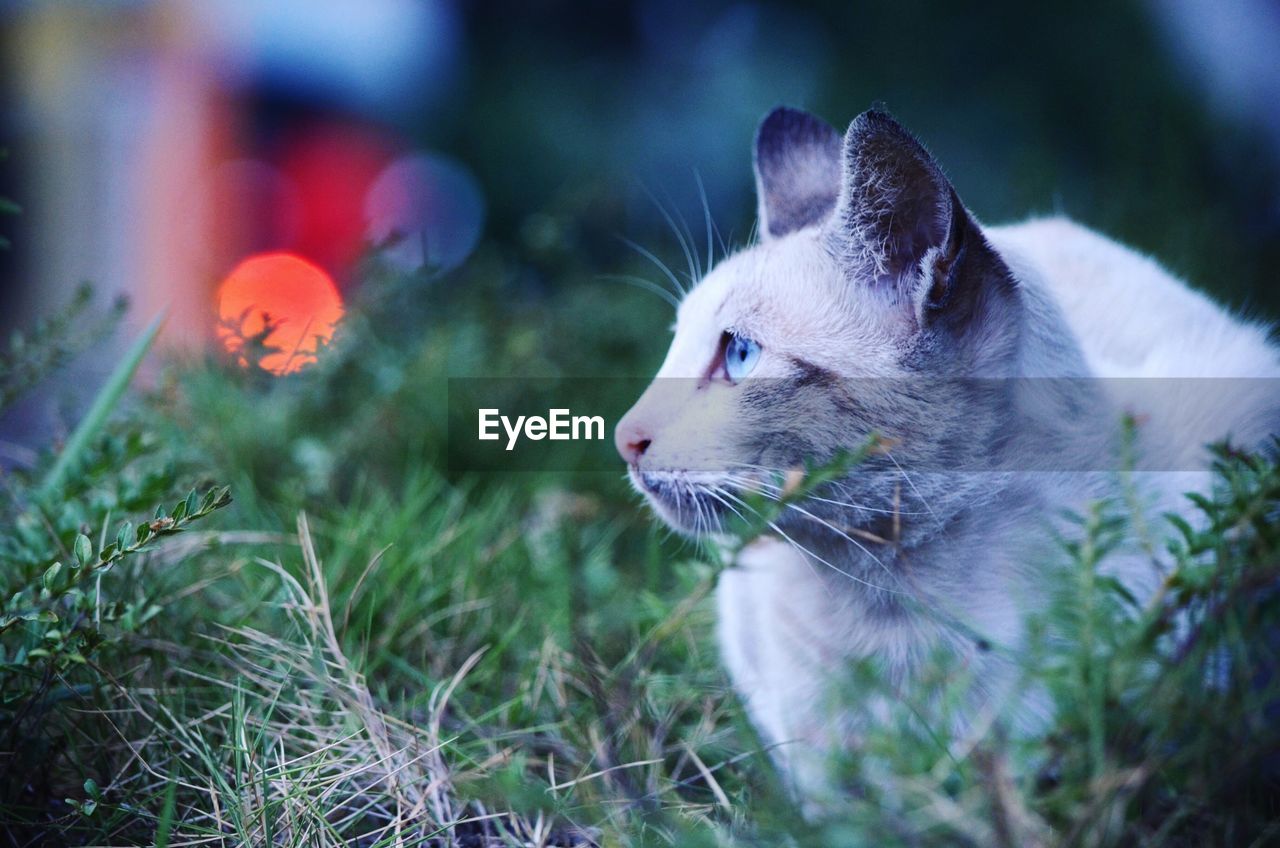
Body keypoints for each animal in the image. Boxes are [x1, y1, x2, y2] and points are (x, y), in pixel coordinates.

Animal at [614, 108, 1274, 809]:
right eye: (676, 343)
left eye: (739, 355)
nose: (624, 437)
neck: (887, 596)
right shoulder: (807, 760)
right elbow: (833, 803)